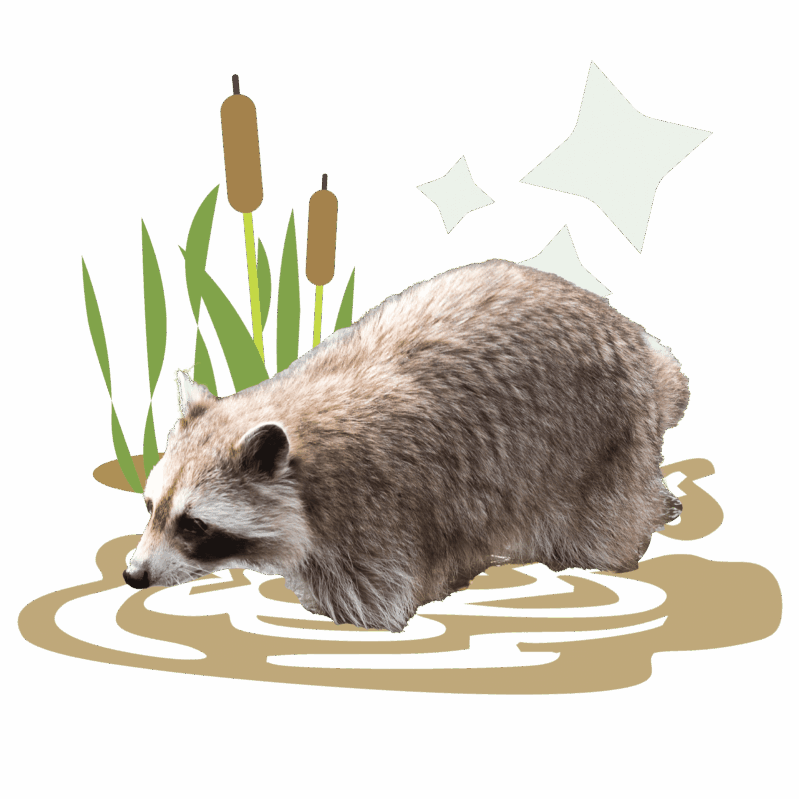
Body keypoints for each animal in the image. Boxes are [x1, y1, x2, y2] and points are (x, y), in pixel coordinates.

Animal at [123, 260, 689, 632]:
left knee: (601, 529)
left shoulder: (378, 512)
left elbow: (374, 600)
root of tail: (628, 332)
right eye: (151, 508)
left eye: (193, 525)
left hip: (601, 441)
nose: (133, 576)